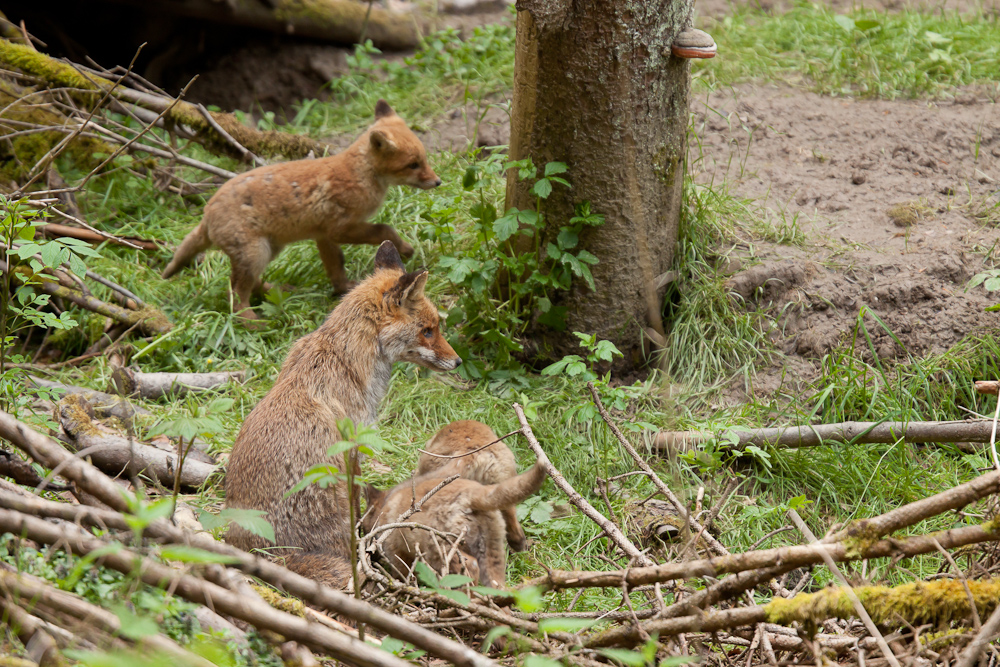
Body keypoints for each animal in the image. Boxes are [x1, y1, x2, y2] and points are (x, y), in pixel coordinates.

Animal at [162, 100, 440, 320]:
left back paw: (277, 291)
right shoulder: (339, 228)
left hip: (267, 251)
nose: (438, 182)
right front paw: (406, 249)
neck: (360, 175)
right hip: (255, 254)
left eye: (424, 160)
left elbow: (336, 266)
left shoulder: (323, 235)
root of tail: (206, 213)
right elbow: (386, 229)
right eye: (413, 165)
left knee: (252, 285)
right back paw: (254, 323)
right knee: (236, 297)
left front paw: (342, 289)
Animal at [223, 243, 460, 588]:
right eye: (428, 331)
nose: (457, 362)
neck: (345, 358)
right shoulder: (354, 445)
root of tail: (266, 554)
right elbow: (359, 501)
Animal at [362, 464, 544, 584]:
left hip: (440, 549)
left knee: (469, 568)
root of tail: (474, 492)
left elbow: (403, 575)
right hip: (492, 554)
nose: (368, 555)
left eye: (363, 528)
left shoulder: (397, 553)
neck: (387, 506)